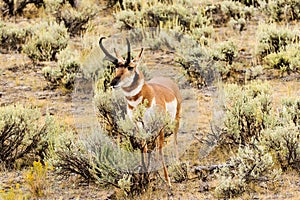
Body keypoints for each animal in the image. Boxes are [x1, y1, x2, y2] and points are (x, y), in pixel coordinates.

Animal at [99, 36, 182, 187]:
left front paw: (167, 180)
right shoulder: (139, 126)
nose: (113, 82)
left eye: (130, 67)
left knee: (174, 140)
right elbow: (144, 148)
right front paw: (147, 175)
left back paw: (177, 163)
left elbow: (160, 149)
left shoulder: (159, 125)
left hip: (175, 120)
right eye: (116, 67)